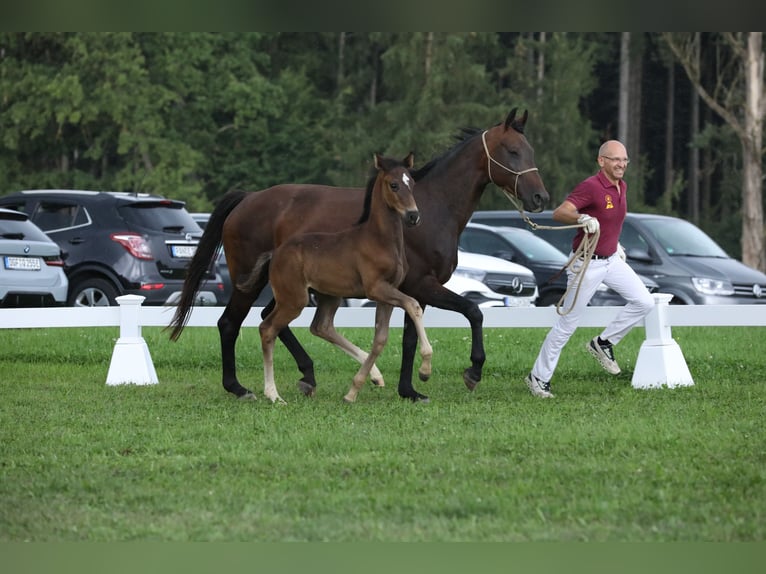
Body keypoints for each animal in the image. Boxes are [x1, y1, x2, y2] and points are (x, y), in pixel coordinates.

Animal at [246, 153, 438, 404]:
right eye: (394, 185)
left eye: (412, 184)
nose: (413, 216)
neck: (380, 240)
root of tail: (274, 253)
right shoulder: (376, 288)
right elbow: (413, 305)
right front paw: (425, 370)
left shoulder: (387, 293)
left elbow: (380, 338)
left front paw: (353, 391)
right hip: (293, 299)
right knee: (267, 329)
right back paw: (273, 394)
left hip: (329, 296)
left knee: (322, 326)